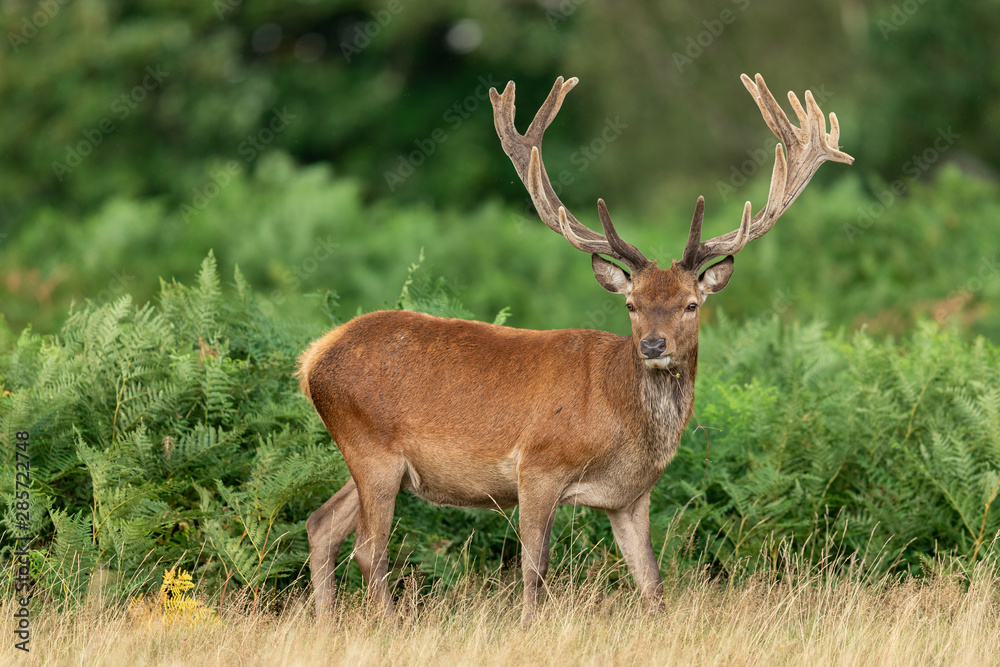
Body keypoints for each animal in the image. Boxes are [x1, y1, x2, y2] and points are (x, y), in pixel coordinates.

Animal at [298, 74, 852, 628]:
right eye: (631, 304)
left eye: (691, 304)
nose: (653, 344)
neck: (619, 417)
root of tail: (312, 359)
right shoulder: (538, 466)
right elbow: (534, 566)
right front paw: (527, 627)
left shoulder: (630, 496)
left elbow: (651, 581)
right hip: (371, 445)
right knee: (369, 548)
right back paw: (389, 624)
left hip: (370, 460)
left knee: (321, 523)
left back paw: (327, 623)